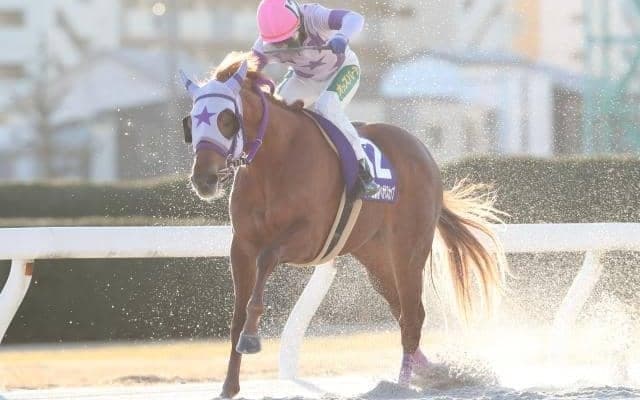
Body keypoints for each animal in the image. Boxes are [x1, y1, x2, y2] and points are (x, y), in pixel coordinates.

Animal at [180, 52, 507, 398]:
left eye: (226, 119)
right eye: (192, 120)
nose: (203, 179)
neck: (275, 162)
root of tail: (424, 153)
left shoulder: (310, 237)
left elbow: (267, 259)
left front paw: (252, 337)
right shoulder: (241, 245)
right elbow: (237, 313)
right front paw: (229, 385)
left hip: (408, 250)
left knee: (411, 316)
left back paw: (401, 383)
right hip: (375, 258)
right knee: (405, 310)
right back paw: (428, 371)